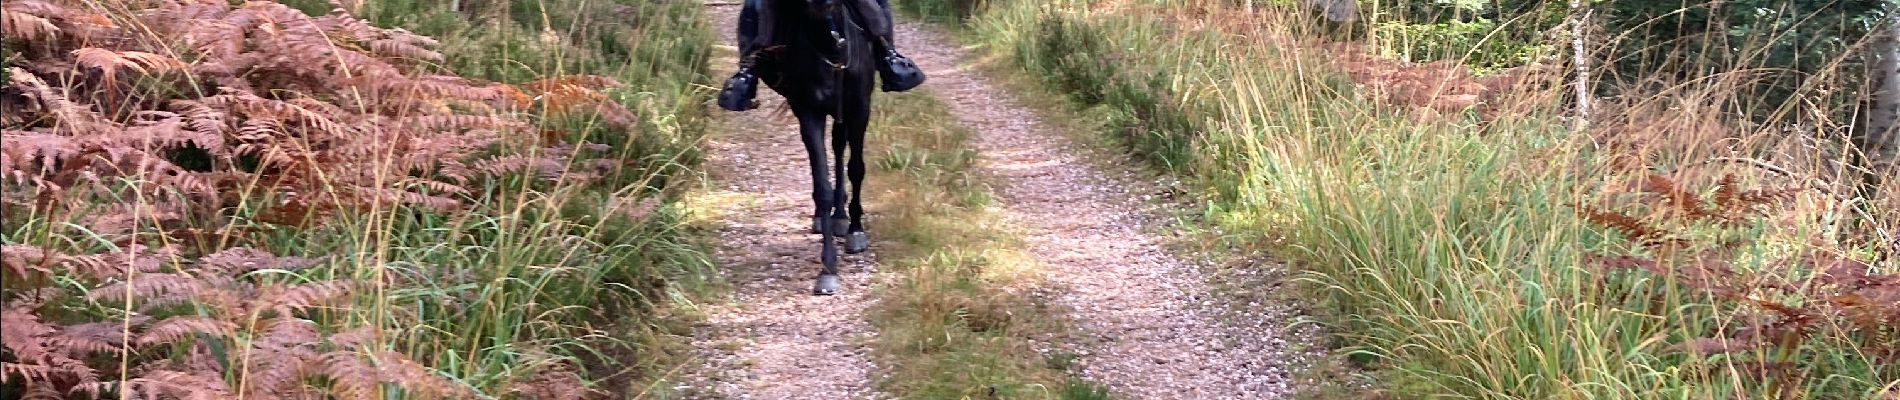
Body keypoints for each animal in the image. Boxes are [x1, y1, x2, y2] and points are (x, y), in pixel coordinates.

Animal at [748, 0, 881, 293]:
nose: (822, 3)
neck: (829, 44)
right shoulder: (809, 111)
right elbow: (822, 186)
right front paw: (828, 268)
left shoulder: (860, 108)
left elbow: (856, 169)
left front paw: (856, 230)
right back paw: (825, 216)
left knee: (840, 147)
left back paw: (841, 217)